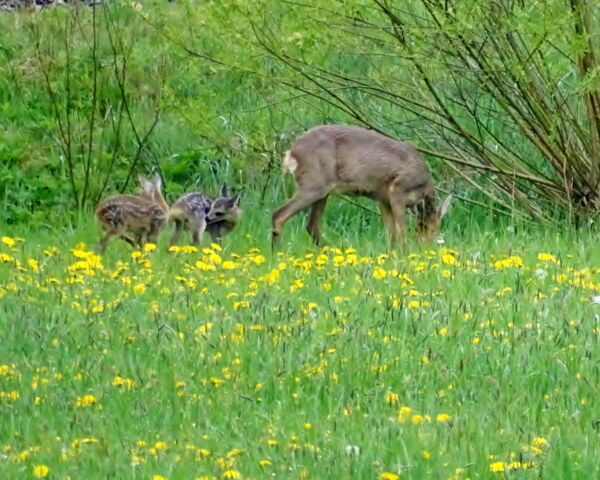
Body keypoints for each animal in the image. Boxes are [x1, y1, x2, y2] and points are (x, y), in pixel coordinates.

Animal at [272, 124, 450, 248]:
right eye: (433, 228)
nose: (427, 248)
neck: (422, 186)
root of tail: (291, 152)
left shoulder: (383, 200)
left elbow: (391, 234)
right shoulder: (398, 191)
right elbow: (401, 233)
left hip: (322, 190)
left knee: (312, 226)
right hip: (314, 184)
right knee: (279, 215)